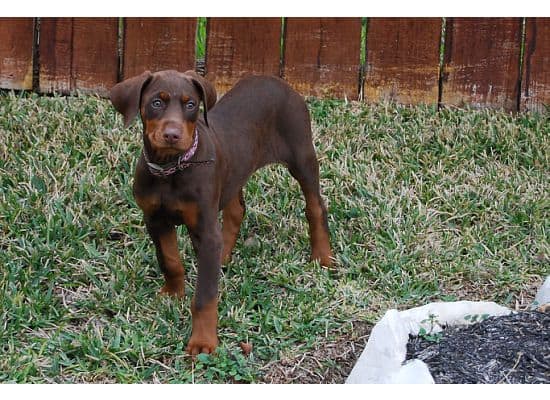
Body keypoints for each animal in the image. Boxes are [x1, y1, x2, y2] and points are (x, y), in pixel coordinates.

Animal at [108, 70, 332, 354]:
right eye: (156, 103)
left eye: (191, 104)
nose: (172, 135)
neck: (171, 169)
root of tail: (275, 79)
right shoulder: (155, 220)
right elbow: (169, 260)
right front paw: (173, 293)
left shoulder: (205, 227)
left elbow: (205, 296)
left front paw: (203, 341)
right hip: (234, 172)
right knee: (236, 210)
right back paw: (223, 254)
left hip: (301, 154)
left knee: (315, 205)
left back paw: (322, 255)